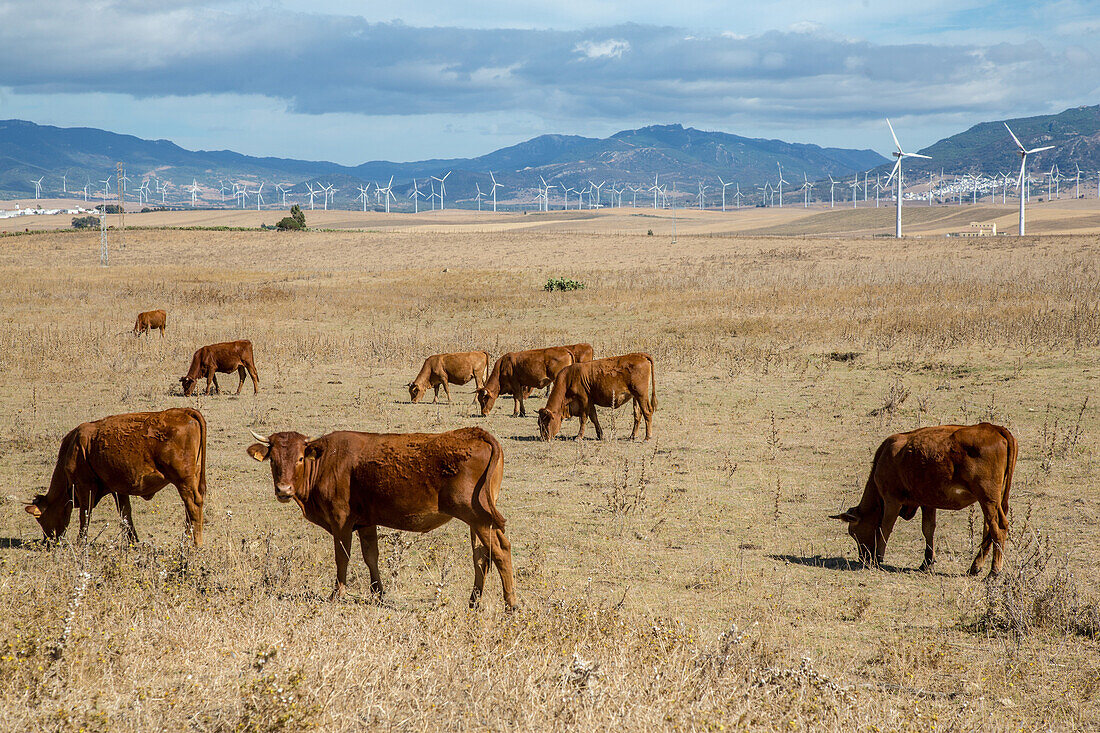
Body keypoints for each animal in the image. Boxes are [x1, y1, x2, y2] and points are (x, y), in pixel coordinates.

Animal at [23, 407, 207, 545]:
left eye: (41, 519)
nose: (48, 541)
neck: (73, 447)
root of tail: (184, 411)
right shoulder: (119, 489)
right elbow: (125, 514)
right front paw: (132, 541)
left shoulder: (85, 486)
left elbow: (85, 515)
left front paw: (81, 541)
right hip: (192, 479)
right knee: (189, 507)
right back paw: (186, 538)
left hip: (183, 481)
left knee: (193, 504)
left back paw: (195, 543)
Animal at [249, 422, 514, 603]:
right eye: (273, 459)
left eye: (300, 458)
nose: (283, 490)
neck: (327, 460)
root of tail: (476, 433)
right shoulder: (366, 522)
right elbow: (371, 556)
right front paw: (378, 592)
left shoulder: (341, 521)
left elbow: (342, 557)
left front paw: (337, 593)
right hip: (480, 520)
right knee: (482, 556)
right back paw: (474, 602)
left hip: (478, 518)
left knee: (500, 553)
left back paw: (510, 604)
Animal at [827, 422, 1016, 576]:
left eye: (853, 533)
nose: (863, 559)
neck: (886, 456)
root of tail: (994, 429)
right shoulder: (927, 502)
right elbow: (928, 529)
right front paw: (927, 562)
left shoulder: (892, 500)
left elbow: (885, 528)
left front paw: (879, 558)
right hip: (991, 501)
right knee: (988, 529)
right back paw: (976, 566)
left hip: (987, 498)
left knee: (998, 527)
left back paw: (994, 571)